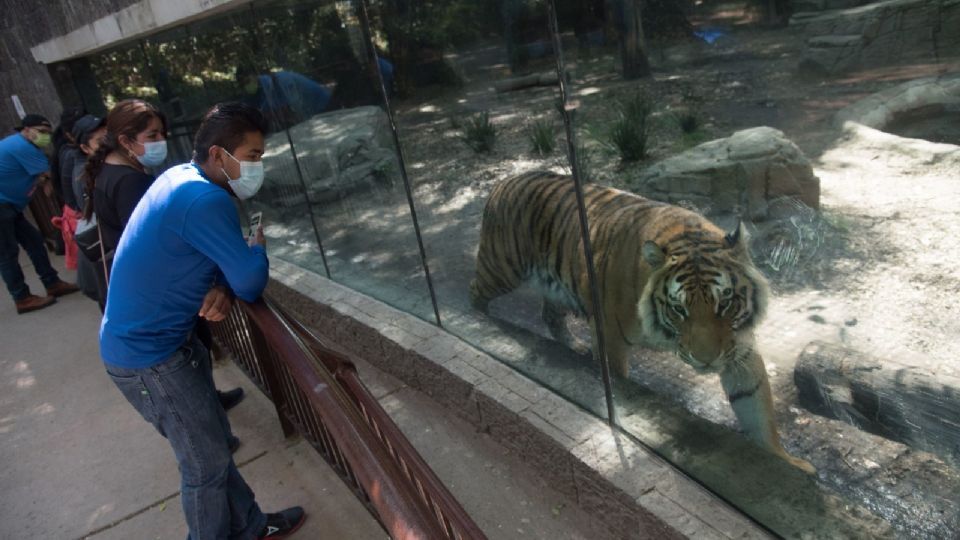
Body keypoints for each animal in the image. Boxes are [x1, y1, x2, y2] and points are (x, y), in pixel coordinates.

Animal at [468, 170, 812, 472]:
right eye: (680, 309)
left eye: (725, 302)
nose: (706, 360)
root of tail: (505, 181)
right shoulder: (609, 335)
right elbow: (618, 380)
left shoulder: (738, 346)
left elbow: (756, 407)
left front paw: (787, 462)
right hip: (500, 269)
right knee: (474, 294)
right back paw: (476, 322)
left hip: (553, 286)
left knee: (549, 315)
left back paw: (574, 346)